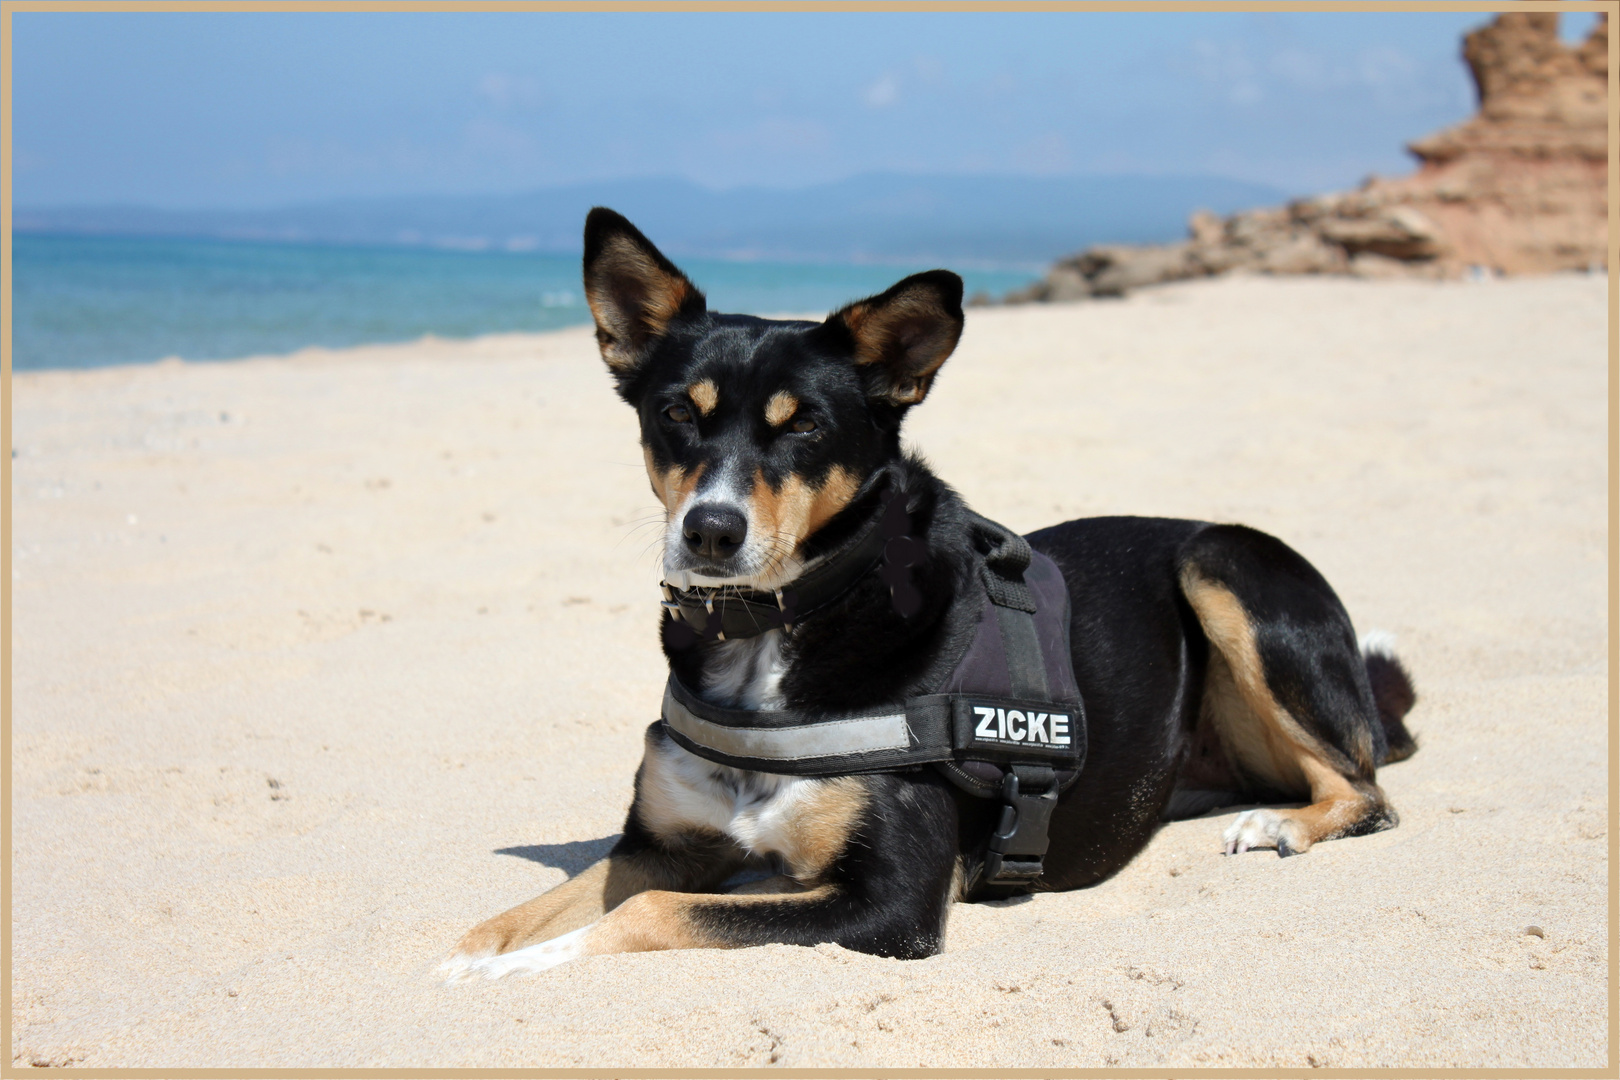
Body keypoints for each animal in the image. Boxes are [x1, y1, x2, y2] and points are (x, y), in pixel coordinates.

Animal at [437, 207, 1412, 984]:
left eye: (806, 427)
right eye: (677, 413)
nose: (710, 531)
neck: (776, 629)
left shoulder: (892, 905)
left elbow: (645, 913)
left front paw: (517, 971)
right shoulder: (659, 845)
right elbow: (528, 909)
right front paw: (472, 956)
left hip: (1221, 562)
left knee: (1367, 791)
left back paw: (1280, 825)